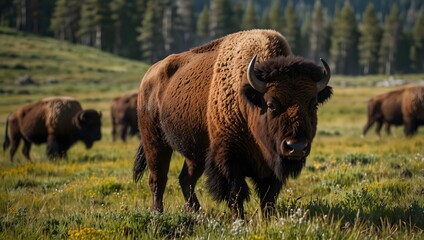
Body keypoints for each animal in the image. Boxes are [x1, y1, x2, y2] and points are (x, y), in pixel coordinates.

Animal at [134, 29, 332, 219]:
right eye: (271, 104)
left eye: (313, 104)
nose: (296, 147)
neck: (250, 100)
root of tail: (148, 77)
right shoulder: (228, 158)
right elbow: (236, 192)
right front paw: (239, 220)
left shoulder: (271, 166)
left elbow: (268, 195)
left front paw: (268, 219)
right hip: (155, 141)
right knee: (158, 178)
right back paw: (157, 213)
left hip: (195, 154)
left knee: (186, 179)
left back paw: (197, 213)